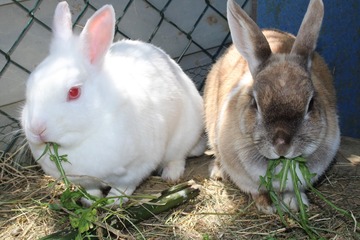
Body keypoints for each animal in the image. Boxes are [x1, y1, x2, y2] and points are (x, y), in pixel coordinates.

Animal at [21, 1, 205, 204]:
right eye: (29, 85)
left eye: (74, 92)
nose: (36, 129)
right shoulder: (86, 180)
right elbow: (91, 190)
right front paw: (90, 201)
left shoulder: (137, 167)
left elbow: (124, 187)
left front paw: (114, 201)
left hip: (183, 136)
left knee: (178, 157)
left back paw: (171, 175)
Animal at [204, 0, 338, 214]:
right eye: (255, 103)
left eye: (310, 104)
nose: (281, 145)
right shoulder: (244, 177)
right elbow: (257, 190)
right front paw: (266, 206)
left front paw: (297, 203)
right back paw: (218, 171)